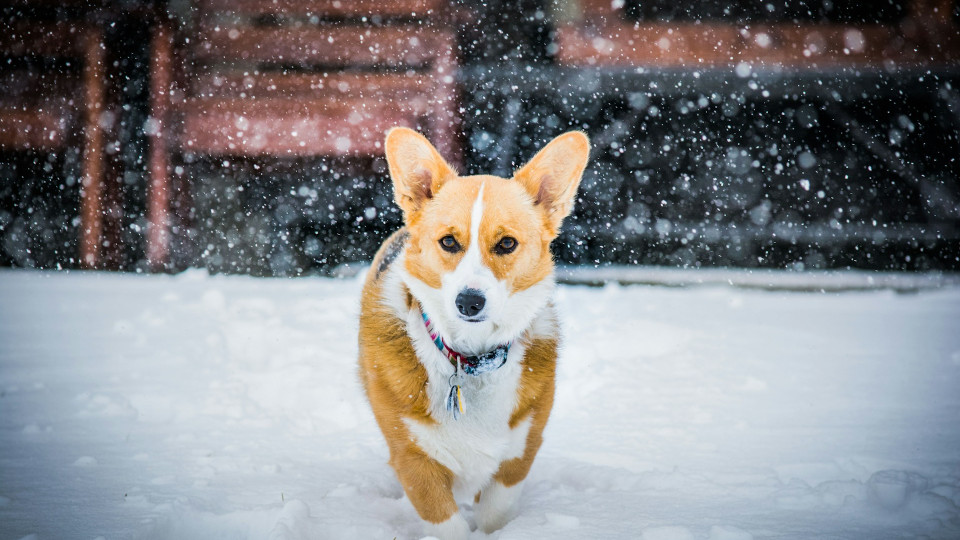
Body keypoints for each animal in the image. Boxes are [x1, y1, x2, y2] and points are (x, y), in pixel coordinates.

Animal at [356, 129, 588, 536]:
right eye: (449, 241)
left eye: (506, 243)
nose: (469, 302)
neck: (471, 357)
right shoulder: (414, 460)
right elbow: (448, 525)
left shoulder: (518, 454)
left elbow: (494, 515)